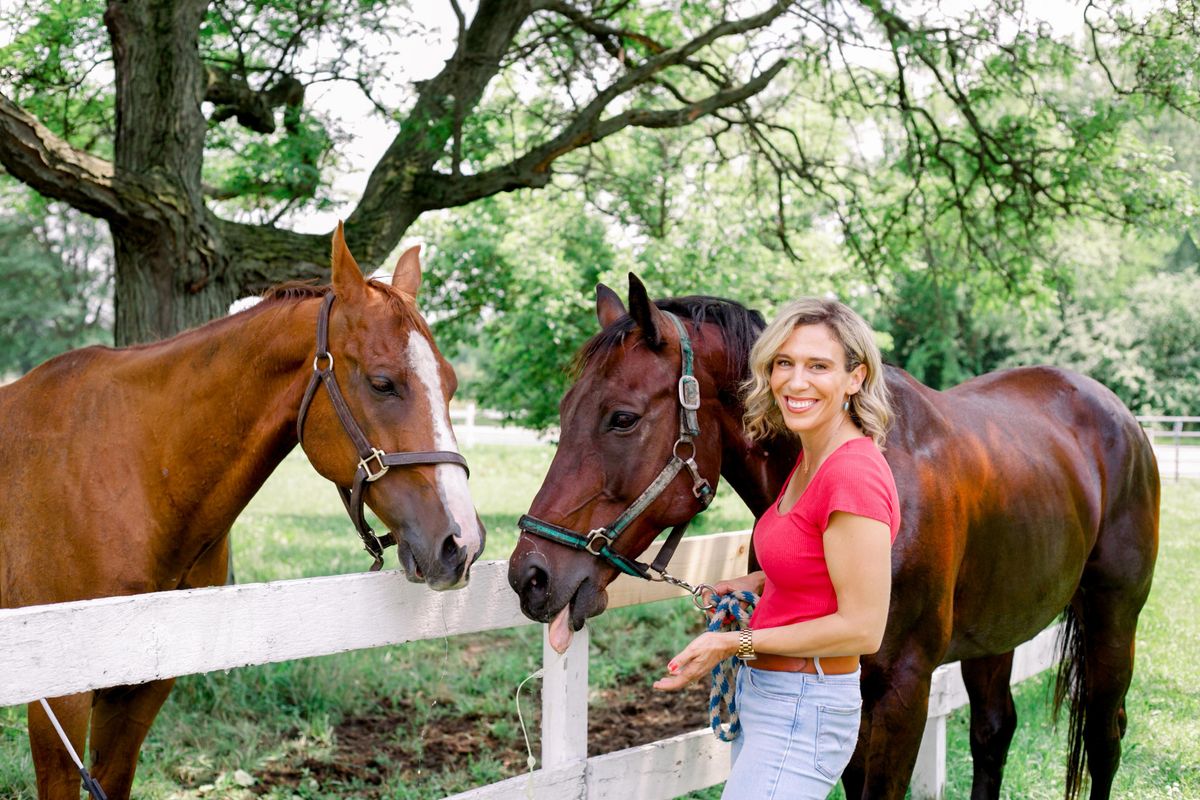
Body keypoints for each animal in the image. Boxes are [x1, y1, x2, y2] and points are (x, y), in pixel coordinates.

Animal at [2, 225, 487, 800]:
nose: (461, 542)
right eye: (382, 382)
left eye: (451, 384)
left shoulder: (141, 692)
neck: (131, 476)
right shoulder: (60, 704)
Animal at [511, 277, 1156, 800]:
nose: (529, 575)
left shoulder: (904, 686)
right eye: (565, 410)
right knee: (994, 732)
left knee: (1105, 735)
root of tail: (1122, 417)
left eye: (622, 417)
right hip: (995, 633)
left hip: (1113, 619)